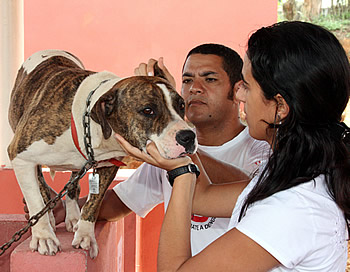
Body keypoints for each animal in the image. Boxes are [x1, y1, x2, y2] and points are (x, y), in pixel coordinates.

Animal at [6, 50, 197, 258]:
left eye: (181, 106)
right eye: (148, 110)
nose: (188, 136)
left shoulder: (109, 166)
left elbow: (94, 202)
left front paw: (85, 235)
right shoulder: (19, 155)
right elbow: (35, 199)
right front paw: (43, 237)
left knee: (72, 187)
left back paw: (73, 217)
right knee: (40, 186)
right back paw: (49, 217)